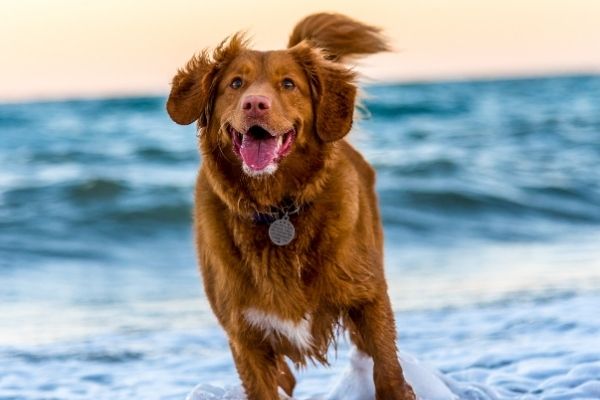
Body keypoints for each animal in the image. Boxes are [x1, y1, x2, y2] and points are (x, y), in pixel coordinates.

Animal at [166, 12, 414, 400]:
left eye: (288, 84)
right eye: (236, 83)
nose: (255, 103)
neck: (277, 209)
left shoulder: (368, 299)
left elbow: (388, 371)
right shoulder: (245, 335)